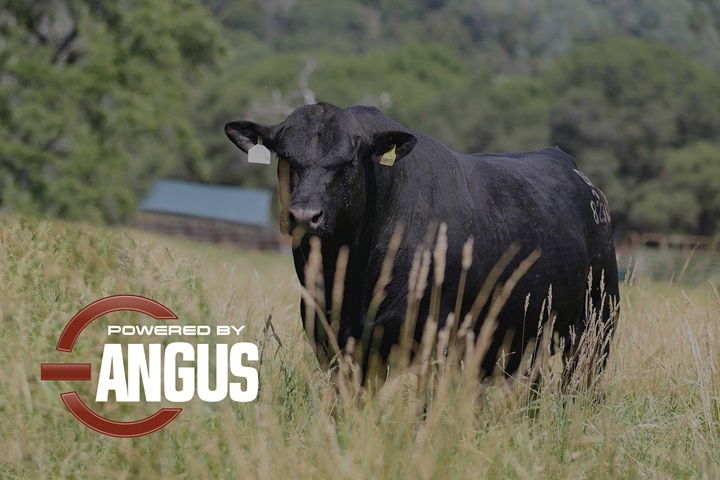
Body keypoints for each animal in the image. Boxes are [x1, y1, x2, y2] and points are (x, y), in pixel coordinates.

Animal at [226, 103, 620, 384]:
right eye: (286, 158)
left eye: (349, 162)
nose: (305, 216)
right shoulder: (333, 340)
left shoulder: (431, 338)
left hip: (596, 329)